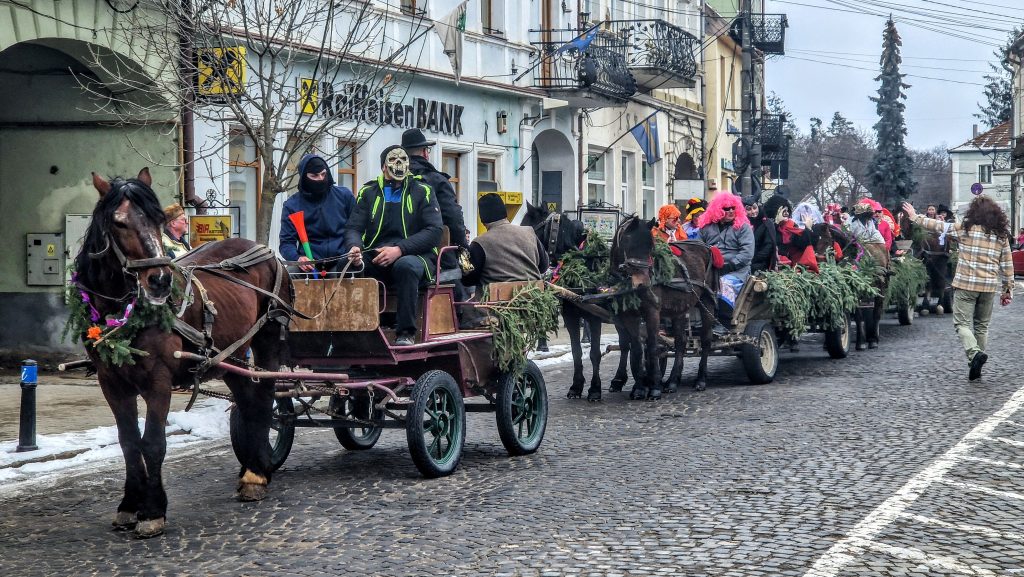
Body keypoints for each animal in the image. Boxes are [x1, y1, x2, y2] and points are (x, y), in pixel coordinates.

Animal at [74, 169, 292, 541]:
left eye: (158, 219)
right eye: (118, 222)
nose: (160, 280)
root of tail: (265, 250)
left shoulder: (158, 381)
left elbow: (153, 442)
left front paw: (152, 510)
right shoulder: (111, 382)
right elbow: (128, 442)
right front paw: (129, 505)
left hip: (267, 339)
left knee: (265, 398)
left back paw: (256, 475)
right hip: (229, 355)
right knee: (247, 401)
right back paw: (252, 467)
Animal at [524, 203, 626, 401]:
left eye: (527, 227)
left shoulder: (594, 317)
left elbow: (594, 353)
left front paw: (594, 389)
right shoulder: (570, 316)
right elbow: (576, 352)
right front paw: (576, 386)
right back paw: (619, 380)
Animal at [602, 217, 716, 401]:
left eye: (650, 248)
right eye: (629, 243)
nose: (643, 284)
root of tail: (706, 247)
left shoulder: (652, 312)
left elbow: (653, 346)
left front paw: (654, 386)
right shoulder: (628, 315)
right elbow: (636, 348)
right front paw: (639, 388)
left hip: (707, 302)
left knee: (706, 339)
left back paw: (700, 380)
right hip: (680, 308)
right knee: (680, 342)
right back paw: (672, 382)